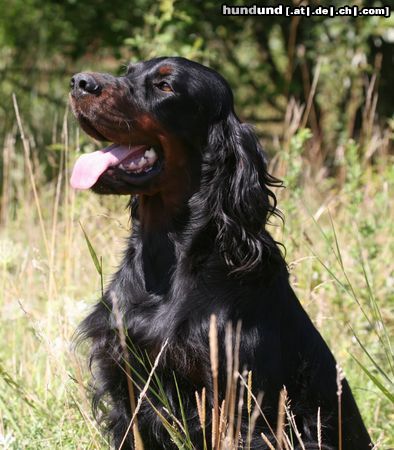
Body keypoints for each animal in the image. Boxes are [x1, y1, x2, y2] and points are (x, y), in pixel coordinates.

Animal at [70, 57, 372, 450]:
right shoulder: (126, 388)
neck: (168, 260)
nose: (79, 82)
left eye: (165, 86)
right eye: (128, 71)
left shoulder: (239, 403)